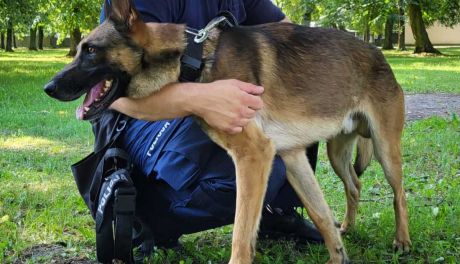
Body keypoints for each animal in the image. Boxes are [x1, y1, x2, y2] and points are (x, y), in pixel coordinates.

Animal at [45, 0, 412, 262]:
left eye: (90, 50)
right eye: (80, 49)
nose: (49, 88)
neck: (193, 59)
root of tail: (377, 52)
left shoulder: (253, 157)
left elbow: (241, 238)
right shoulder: (289, 158)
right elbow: (321, 217)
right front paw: (337, 253)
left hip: (385, 150)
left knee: (398, 193)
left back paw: (403, 240)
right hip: (337, 153)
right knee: (354, 185)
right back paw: (348, 225)